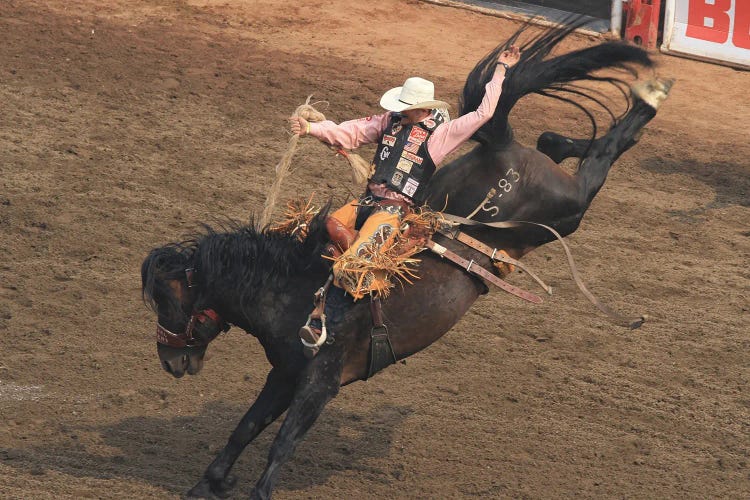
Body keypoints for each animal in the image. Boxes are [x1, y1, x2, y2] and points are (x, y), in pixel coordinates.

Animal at [142, 20, 676, 500]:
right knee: (553, 141)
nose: (169, 361)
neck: (293, 289)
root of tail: (501, 149)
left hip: (567, 209)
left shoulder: (319, 383)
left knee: (600, 159)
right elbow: (246, 426)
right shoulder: (285, 372)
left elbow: (281, 444)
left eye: (168, 303)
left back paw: (650, 95)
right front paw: (207, 483)